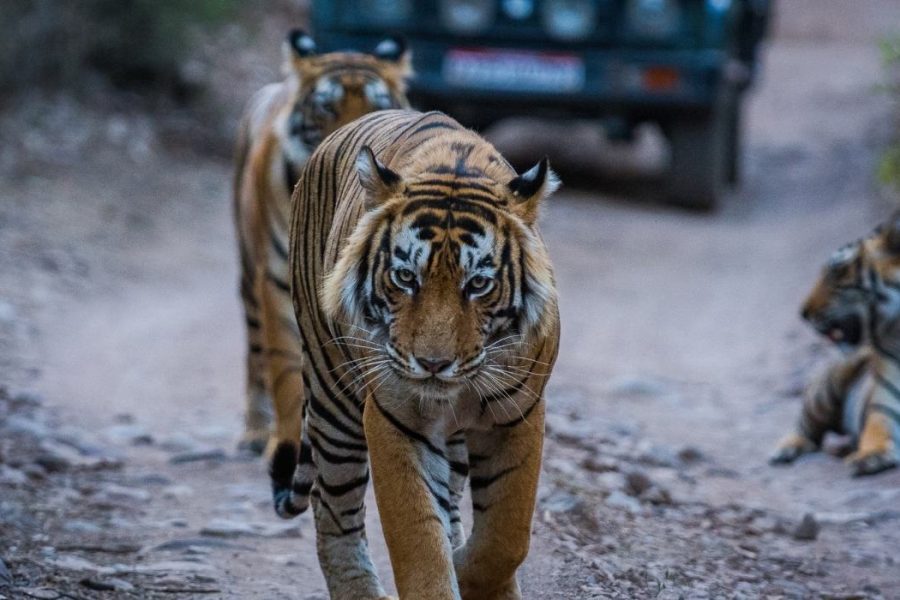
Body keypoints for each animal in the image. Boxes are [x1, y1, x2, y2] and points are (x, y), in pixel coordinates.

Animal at [233, 29, 411, 454]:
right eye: (327, 107)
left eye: (378, 105)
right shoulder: (277, 280)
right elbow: (283, 369)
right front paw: (284, 440)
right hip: (249, 273)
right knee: (255, 350)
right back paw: (254, 430)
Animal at [271, 109, 560, 600]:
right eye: (405, 277)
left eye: (478, 284)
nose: (433, 365)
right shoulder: (394, 418)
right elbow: (419, 538)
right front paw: (449, 573)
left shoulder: (519, 414)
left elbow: (506, 536)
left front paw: (472, 574)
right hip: (333, 398)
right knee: (332, 507)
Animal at [771, 214, 900, 476]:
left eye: (837, 272)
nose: (803, 313)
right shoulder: (884, 405)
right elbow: (878, 427)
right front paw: (871, 455)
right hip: (826, 388)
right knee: (806, 428)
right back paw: (786, 450)